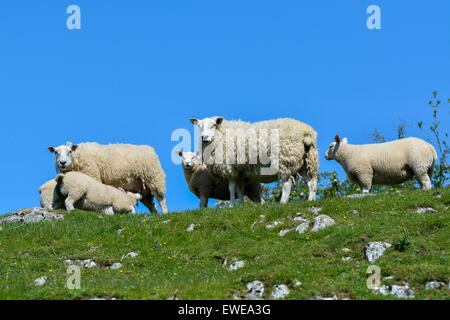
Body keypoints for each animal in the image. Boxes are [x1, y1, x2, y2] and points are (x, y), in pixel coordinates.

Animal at [190, 117, 320, 205]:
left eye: (213, 125)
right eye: (199, 126)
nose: (204, 137)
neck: (221, 134)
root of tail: (306, 133)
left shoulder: (230, 169)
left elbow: (231, 189)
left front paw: (232, 205)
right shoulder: (240, 173)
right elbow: (240, 190)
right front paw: (241, 206)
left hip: (285, 160)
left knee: (287, 183)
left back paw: (282, 203)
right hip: (307, 161)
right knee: (311, 182)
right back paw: (310, 200)